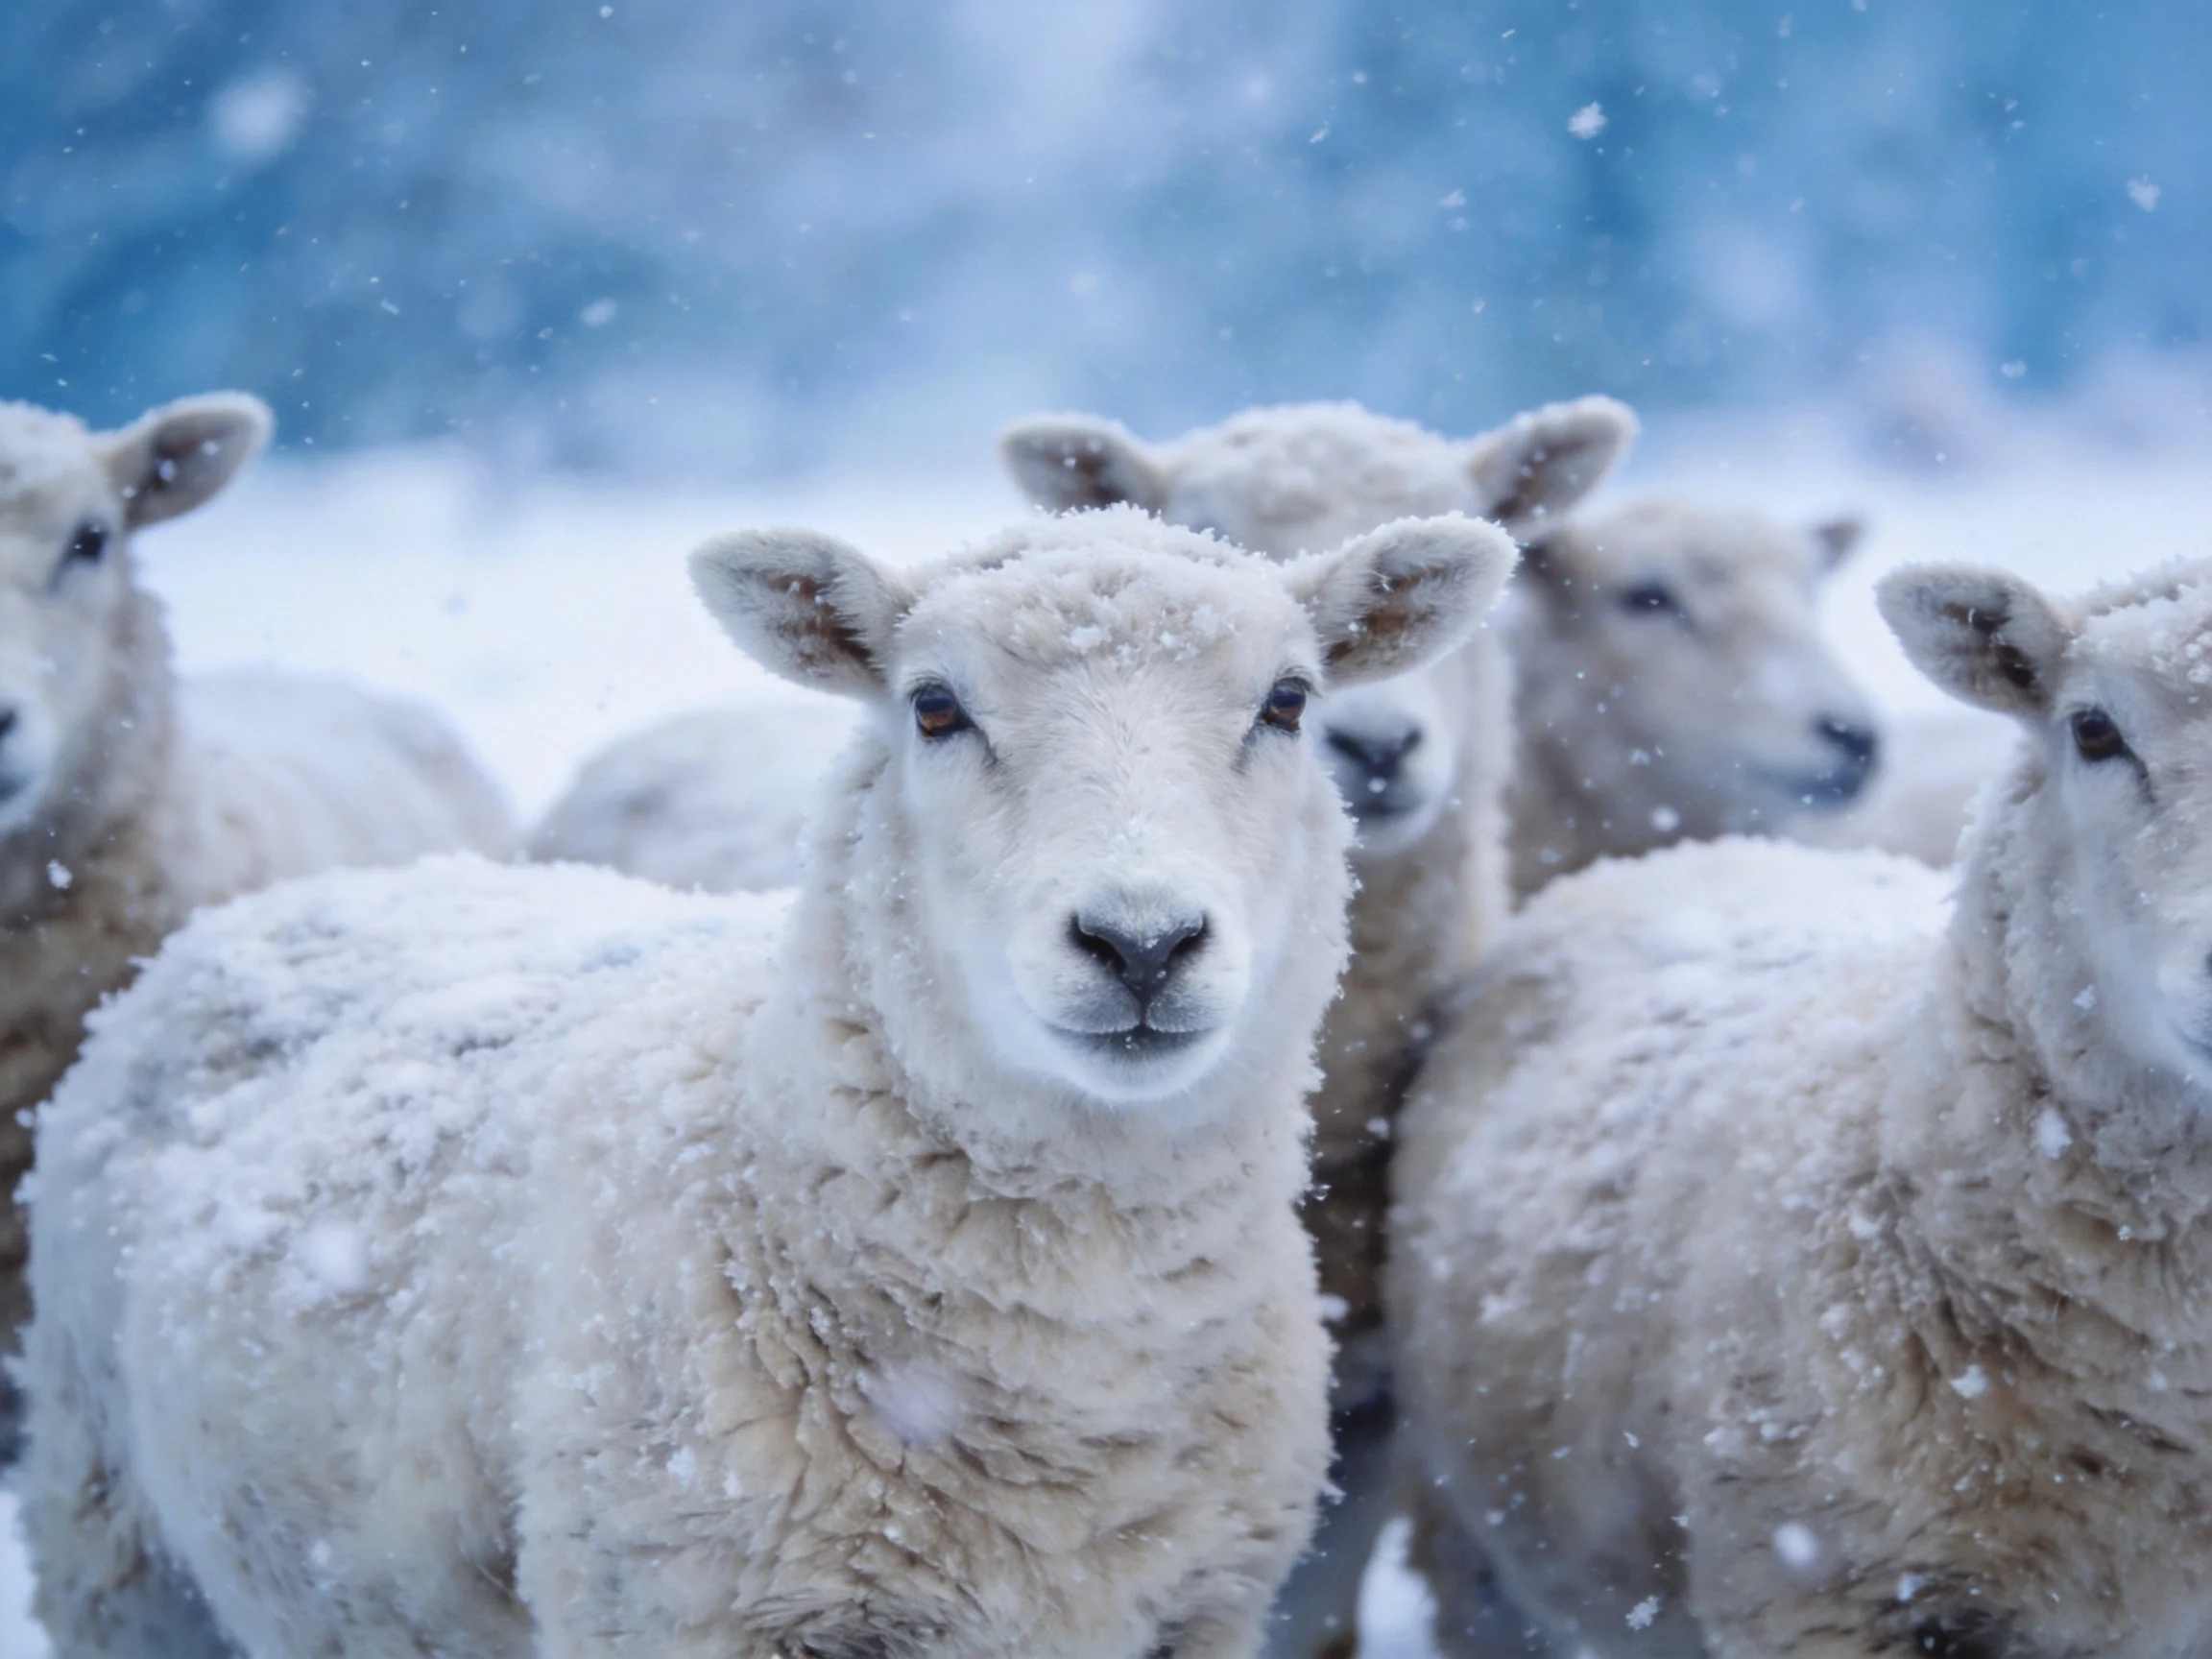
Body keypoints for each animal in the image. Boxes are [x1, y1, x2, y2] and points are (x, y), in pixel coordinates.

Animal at [21, 505, 1518, 1659]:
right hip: (118, 1550)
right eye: (934, 706)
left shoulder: (1199, 1613)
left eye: (1288, 702)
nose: (1142, 941)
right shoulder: (681, 1608)